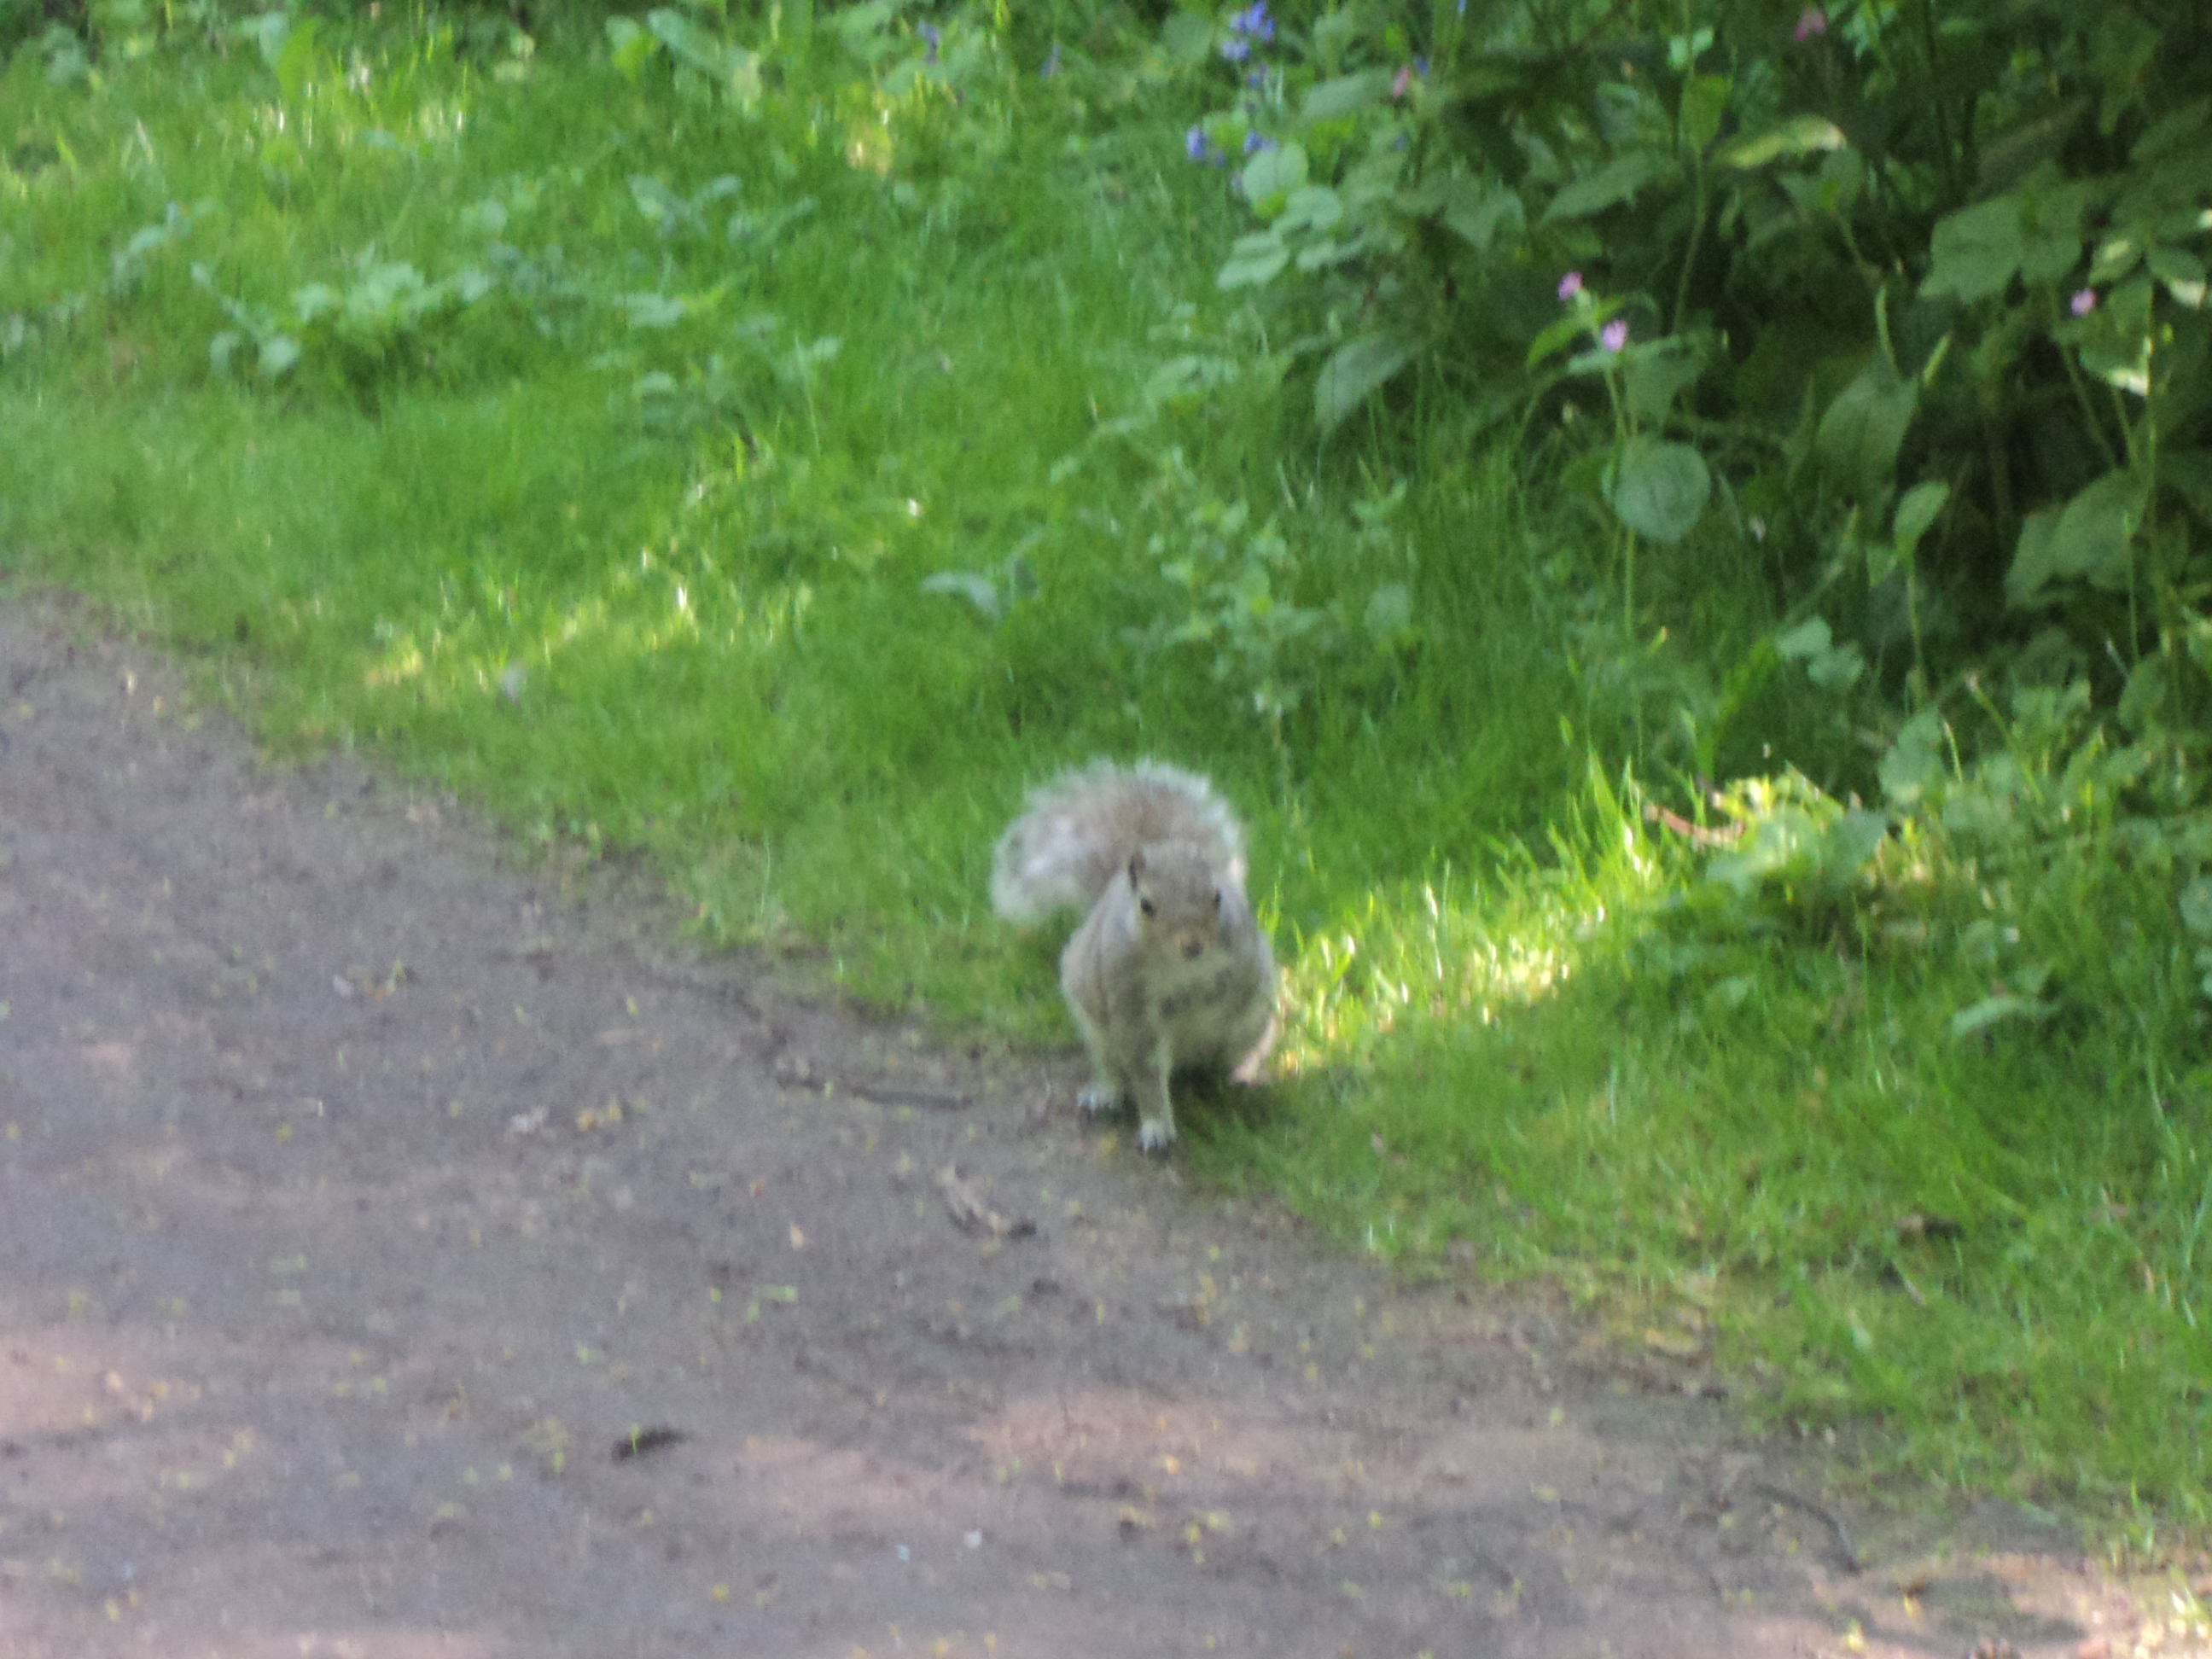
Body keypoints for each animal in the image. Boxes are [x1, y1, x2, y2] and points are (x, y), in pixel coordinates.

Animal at [991, 759, 1277, 1151]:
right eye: (1147, 906)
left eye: (1217, 896)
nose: (1193, 945)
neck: (1179, 966)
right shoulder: (1126, 992)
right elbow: (1145, 1067)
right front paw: (1157, 1127)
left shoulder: (1243, 953)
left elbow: (1237, 988)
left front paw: (1208, 1001)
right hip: (1097, 1032)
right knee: (1115, 1068)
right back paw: (1105, 1092)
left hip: (1247, 1034)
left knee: (1223, 1060)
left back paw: (1234, 1081)